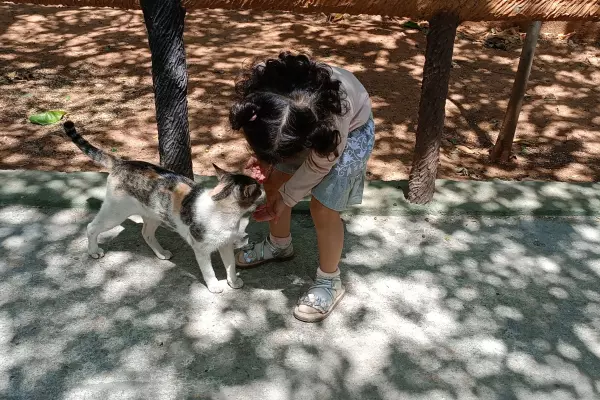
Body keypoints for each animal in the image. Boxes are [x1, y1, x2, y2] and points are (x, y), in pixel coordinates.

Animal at [61, 120, 264, 292]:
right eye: (259, 190)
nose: (264, 189)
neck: (222, 211)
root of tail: (122, 162)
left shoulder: (226, 244)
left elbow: (230, 266)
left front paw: (233, 281)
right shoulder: (201, 249)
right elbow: (209, 271)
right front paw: (214, 285)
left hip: (153, 215)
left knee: (146, 233)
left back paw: (160, 252)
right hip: (115, 213)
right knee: (92, 227)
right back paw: (93, 251)